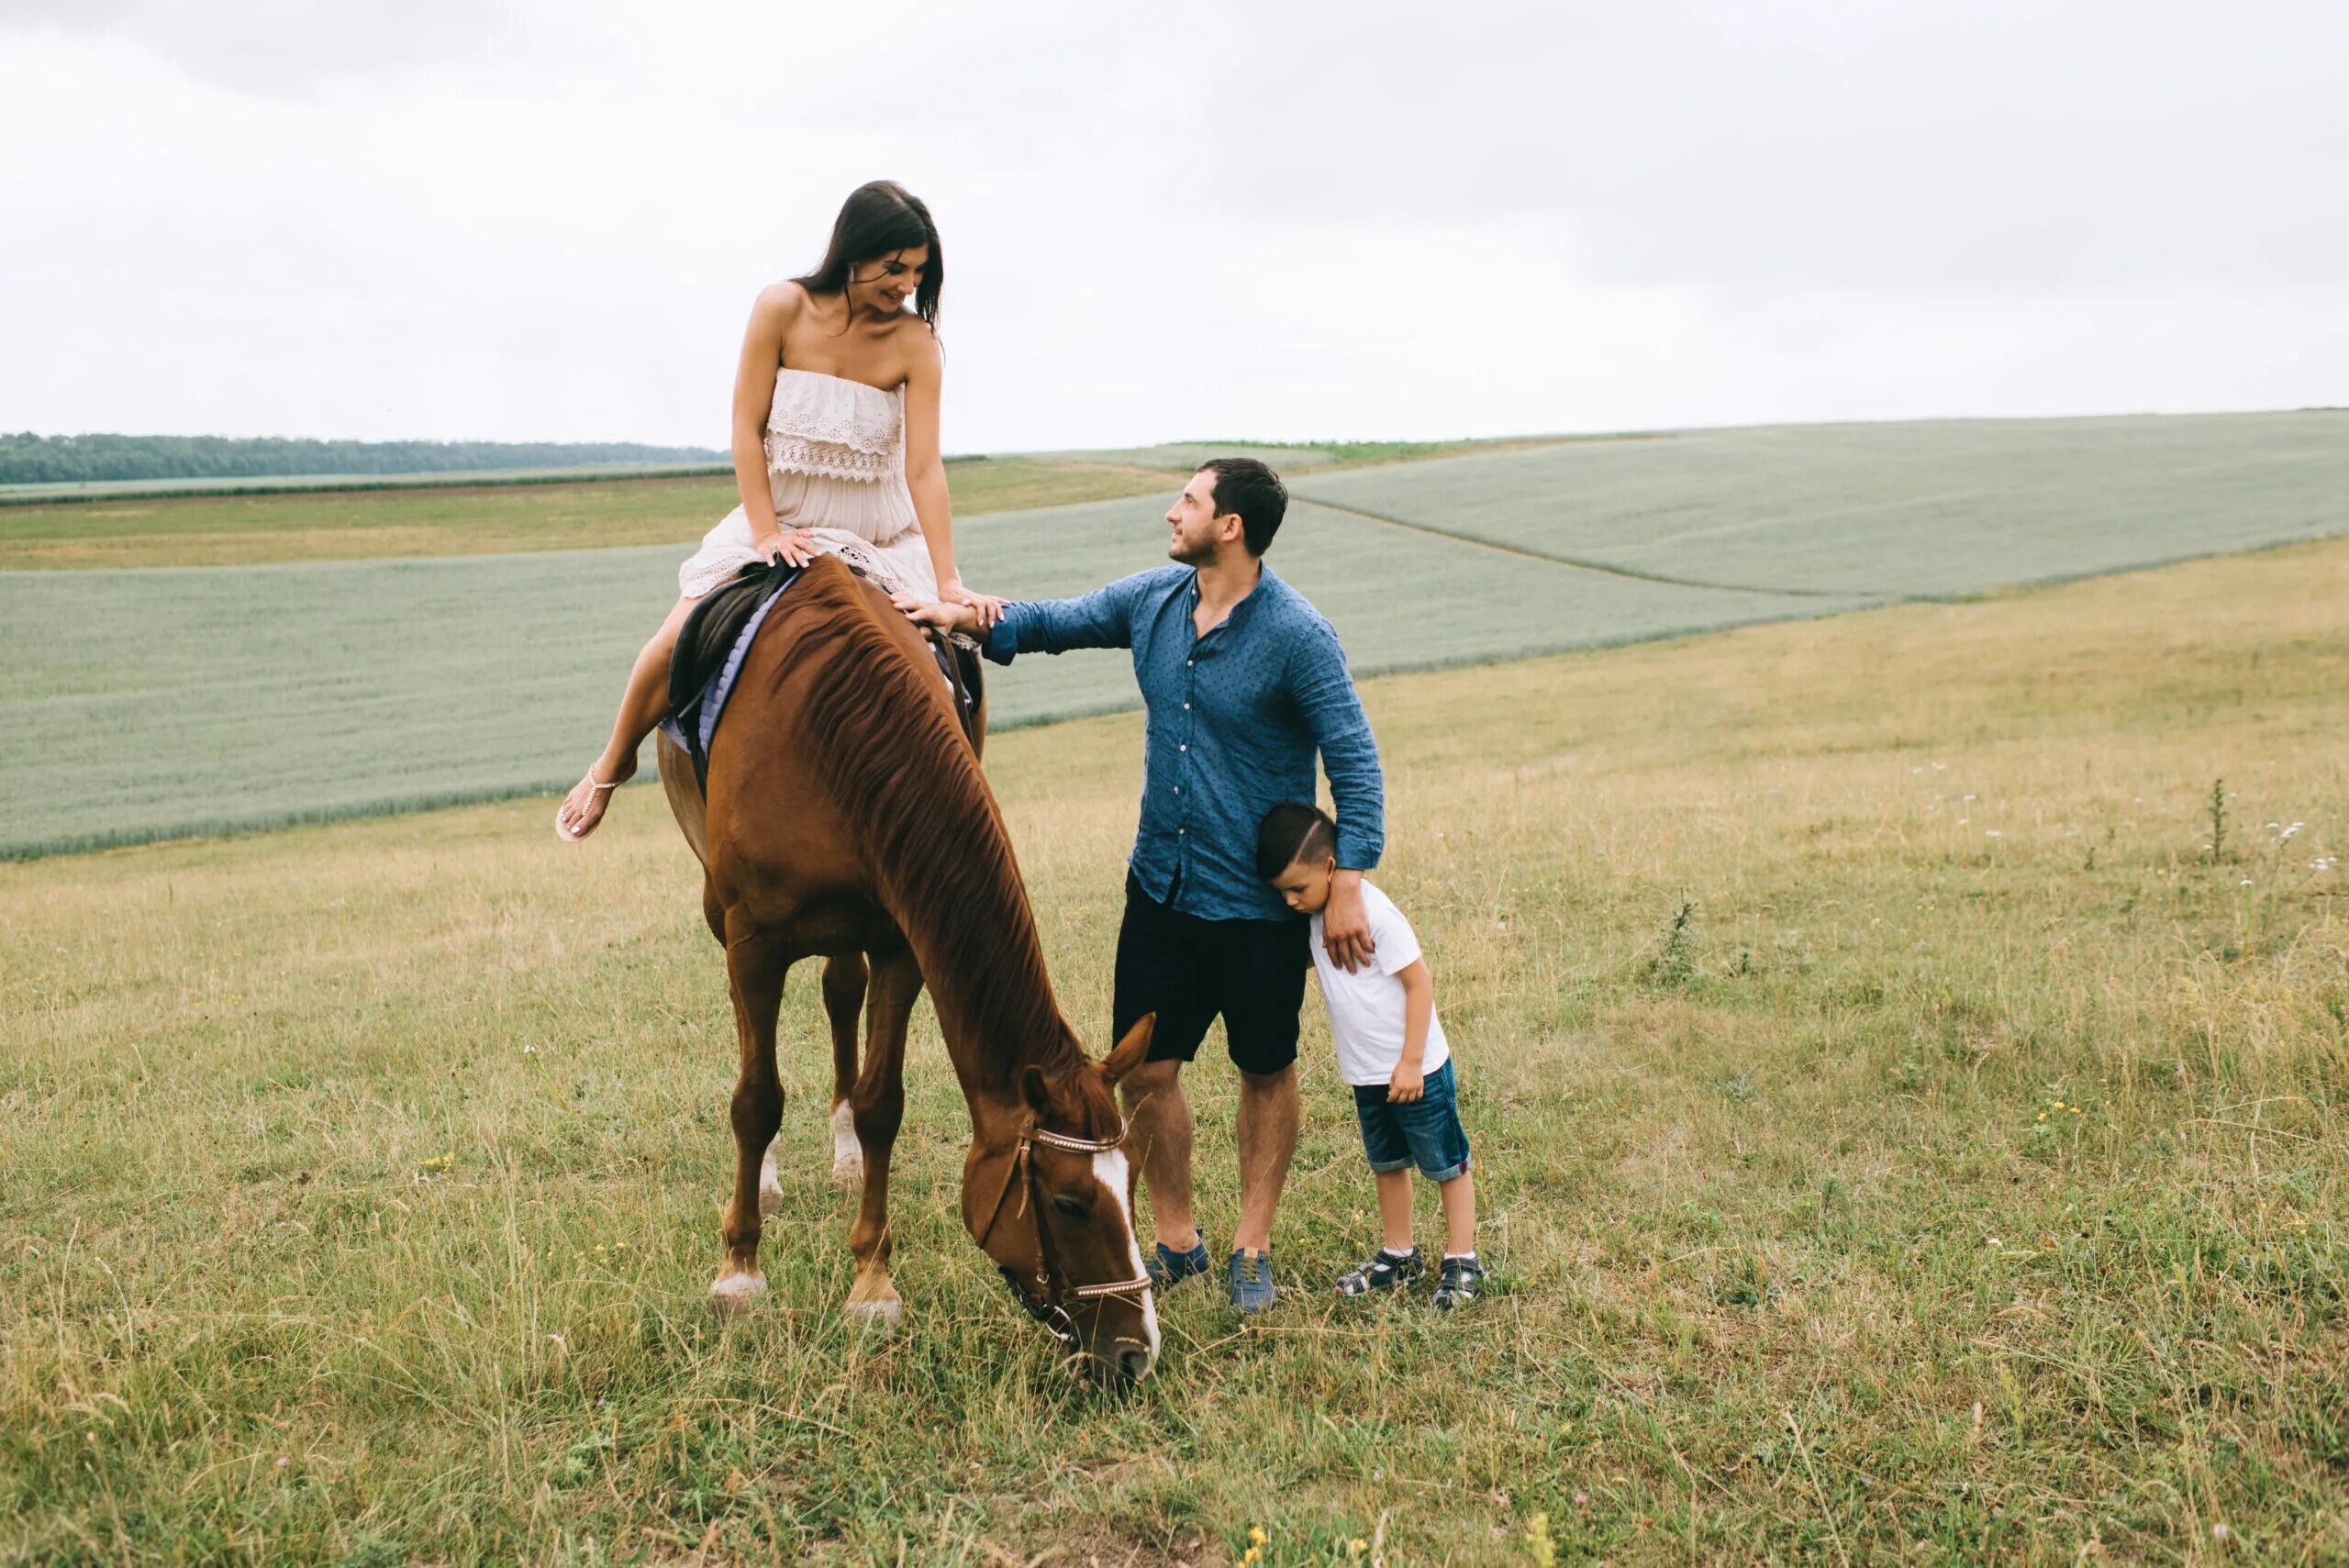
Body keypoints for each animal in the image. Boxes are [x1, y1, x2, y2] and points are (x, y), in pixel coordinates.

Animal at [652, 556, 1164, 1380]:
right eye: (1068, 1203)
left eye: (1134, 1184)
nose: (1134, 1351)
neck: (832, 726)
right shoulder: (753, 940)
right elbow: (756, 1099)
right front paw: (739, 1272)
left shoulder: (901, 940)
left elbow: (880, 1103)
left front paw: (871, 1283)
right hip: (722, 914)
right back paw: (764, 1182)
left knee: (840, 993)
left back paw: (842, 1152)